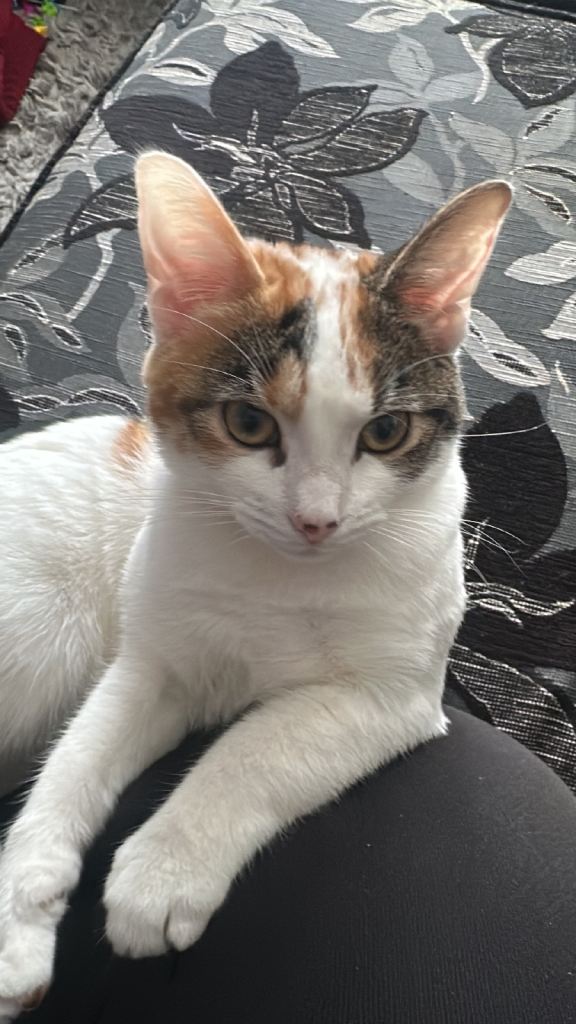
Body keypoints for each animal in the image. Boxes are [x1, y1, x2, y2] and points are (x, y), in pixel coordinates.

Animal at [0, 151, 511, 1019]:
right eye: (248, 424)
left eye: (385, 432)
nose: (316, 522)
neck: (279, 578)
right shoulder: (154, 657)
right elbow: (79, 754)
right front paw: (20, 914)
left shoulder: (394, 696)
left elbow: (256, 747)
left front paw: (159, 872)